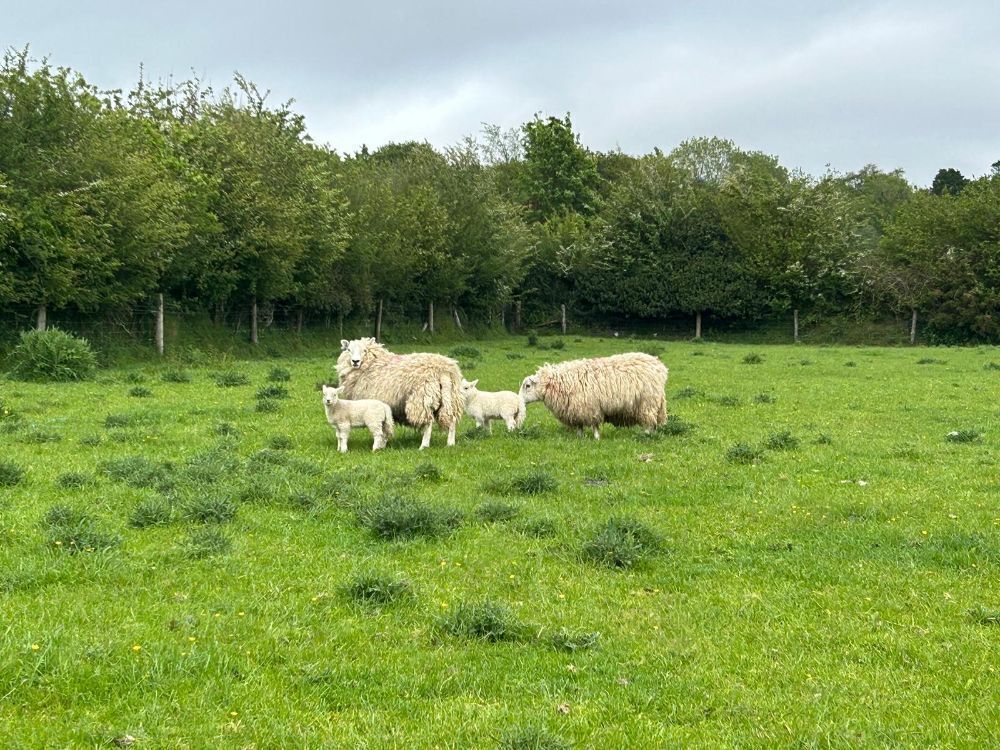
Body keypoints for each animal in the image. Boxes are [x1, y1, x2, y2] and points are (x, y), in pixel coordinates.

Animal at [518, 353, 668, 440]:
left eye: (527, 386)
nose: (519, 402)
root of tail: (659, 366)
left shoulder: (590, 407)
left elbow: (594, 424)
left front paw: (596, 438)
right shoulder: (576, 409)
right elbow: (579, 425)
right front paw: (580, 437)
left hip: (647, 402)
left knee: (649, 421)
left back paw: (646, 435)